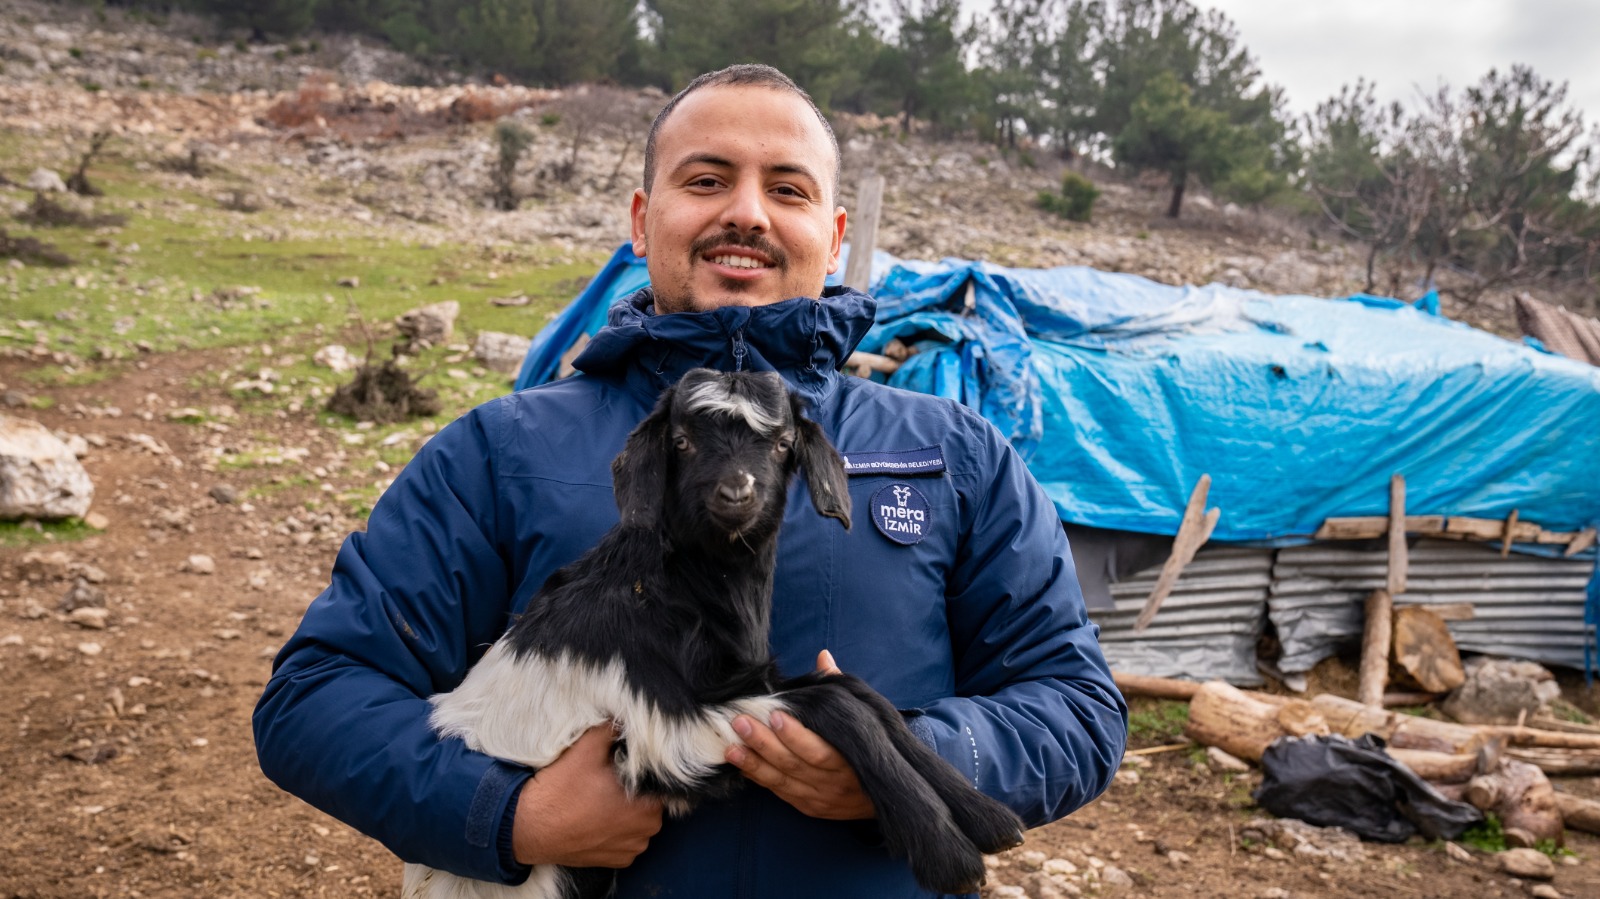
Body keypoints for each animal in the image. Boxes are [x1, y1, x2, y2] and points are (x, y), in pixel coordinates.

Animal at [403, 367, 1024, 895]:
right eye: (681, 441)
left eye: (782, 443)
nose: (737, 494)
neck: (666, 586)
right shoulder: (667, 726)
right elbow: (839, 705)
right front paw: (948, 853)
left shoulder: (743, 681)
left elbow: (863, 695)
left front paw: (988, 819)